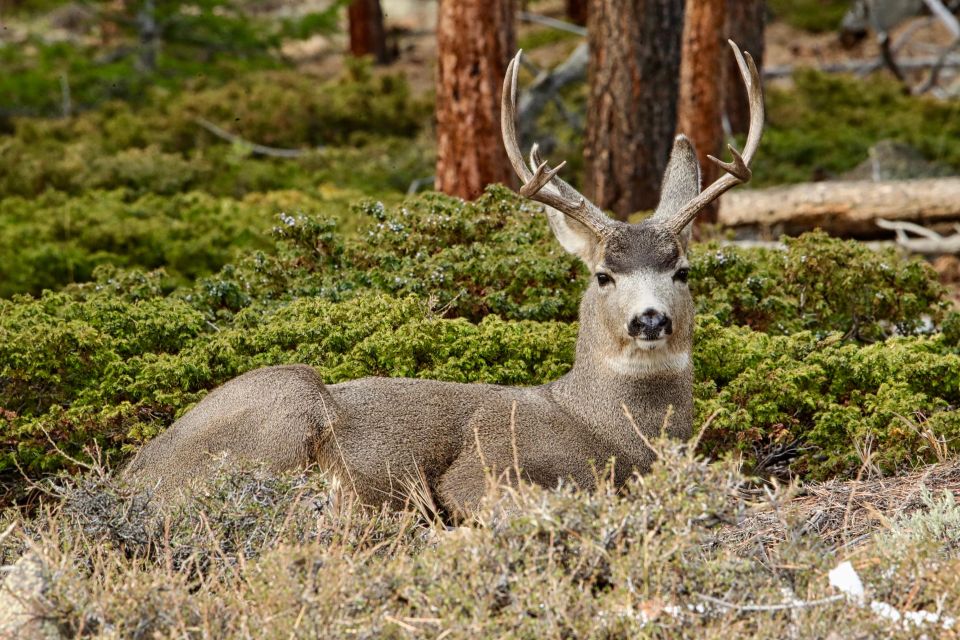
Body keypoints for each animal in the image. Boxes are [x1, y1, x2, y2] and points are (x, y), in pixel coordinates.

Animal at [125, 41, 764, 520]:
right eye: (604, 275)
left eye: (682, 271)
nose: (650, 319)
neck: (610, 430)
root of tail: (134, 476)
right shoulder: (487, 466)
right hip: (288, 401)